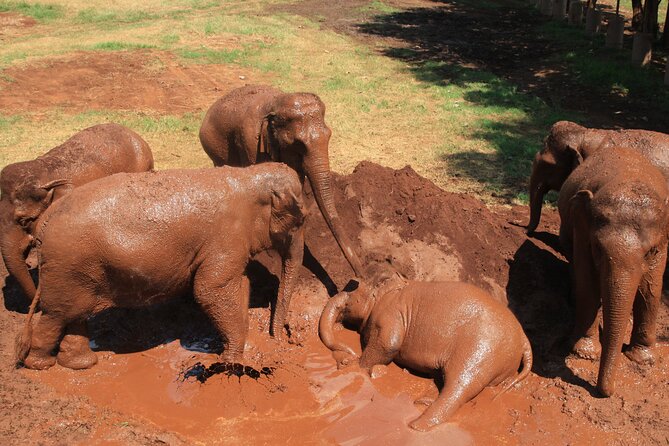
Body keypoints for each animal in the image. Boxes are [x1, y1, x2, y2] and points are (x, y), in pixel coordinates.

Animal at [15, 163, 306, 371]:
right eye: (301, 218)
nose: (281, 338)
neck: (248, 175)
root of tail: (45, 221)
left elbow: (239, 284)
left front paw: (237, 353)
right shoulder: (226, 238)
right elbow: (209, 289)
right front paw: (231, 362)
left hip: (77, 269)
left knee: (74, 314)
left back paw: (80, 364)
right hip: (67, 264)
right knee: (55, 316)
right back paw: (40, 365)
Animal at [199, 84, 364, 278]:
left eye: (329, 135)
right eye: (298, 144)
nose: (360, 277)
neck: (275, 104)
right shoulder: (251, 143)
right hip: (213, 146)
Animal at [318, 277, 533, 431]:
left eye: (350, 298)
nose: (348, 351)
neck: (386, 288)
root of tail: (524, 339)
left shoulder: (389, 313)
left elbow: (389, 344)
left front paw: (355, 365)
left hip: (481, 348)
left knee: (460, 385)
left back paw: (417, 425)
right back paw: (422, 402)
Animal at [558, 146, 669, 397]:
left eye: (650, 252)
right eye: (597, 248)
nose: (604, 392)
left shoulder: (664, 240)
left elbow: (651, 289)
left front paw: (642, 359)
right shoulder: (582, 229)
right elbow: (588, 284)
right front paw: (584, 353)